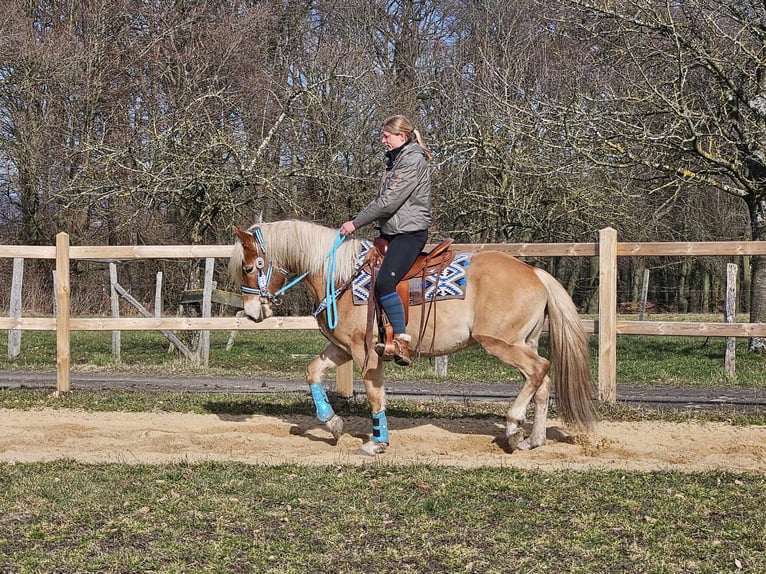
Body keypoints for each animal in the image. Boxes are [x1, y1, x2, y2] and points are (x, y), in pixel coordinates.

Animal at [230, 220, 600, 460]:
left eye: (249, 267)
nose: (251, 312)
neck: (340, 276)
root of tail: (535, 272)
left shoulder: (366, 353)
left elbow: (376, 396)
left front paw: (376, 442)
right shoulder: (340, 348)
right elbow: (312, 373)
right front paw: (332, 423)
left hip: (501, 343)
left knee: (539, 370)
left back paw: (512, 426)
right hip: (525, 341)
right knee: (544, 382)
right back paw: (533, 440)